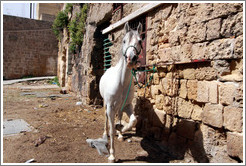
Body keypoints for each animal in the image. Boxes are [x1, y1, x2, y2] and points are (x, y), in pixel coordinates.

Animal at [99, 22, 143, 162]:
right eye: (124, 41)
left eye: (140, 41)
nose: (131, 59)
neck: (121, 82)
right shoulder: (110, 107)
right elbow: (111, 129)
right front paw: (112, 155)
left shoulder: (127, 105)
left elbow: (133, 121)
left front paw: (121, 129)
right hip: (106, 104)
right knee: (106, 119)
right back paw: (104, 133)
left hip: (120, 106)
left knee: (118, 116)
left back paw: (120, 134)